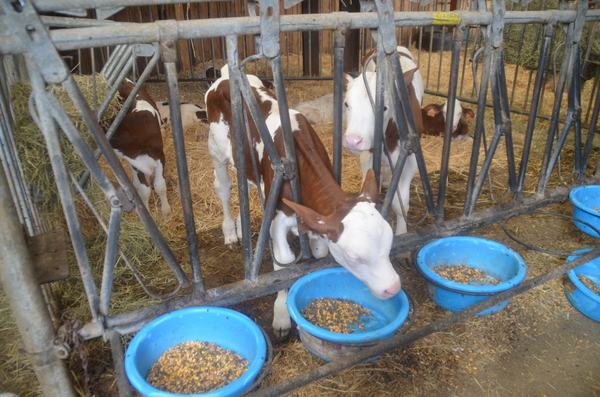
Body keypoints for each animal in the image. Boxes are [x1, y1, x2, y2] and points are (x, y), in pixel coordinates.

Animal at [204, 65, 400, 338]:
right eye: (355, 258)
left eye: (389, 244)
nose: (394, 288)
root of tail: (223, 76)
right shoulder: (278, 219)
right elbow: (284, 265)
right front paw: (281, 316)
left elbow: (319, 251)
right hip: (216, 149)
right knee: (223, 188)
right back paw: (231, 233)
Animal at [344, 45, 424, 235]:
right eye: (346, 104)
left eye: (384, 107)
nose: (352, 140)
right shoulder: (367, 153)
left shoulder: (411, 157)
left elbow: (401, 203)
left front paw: (402, 233)